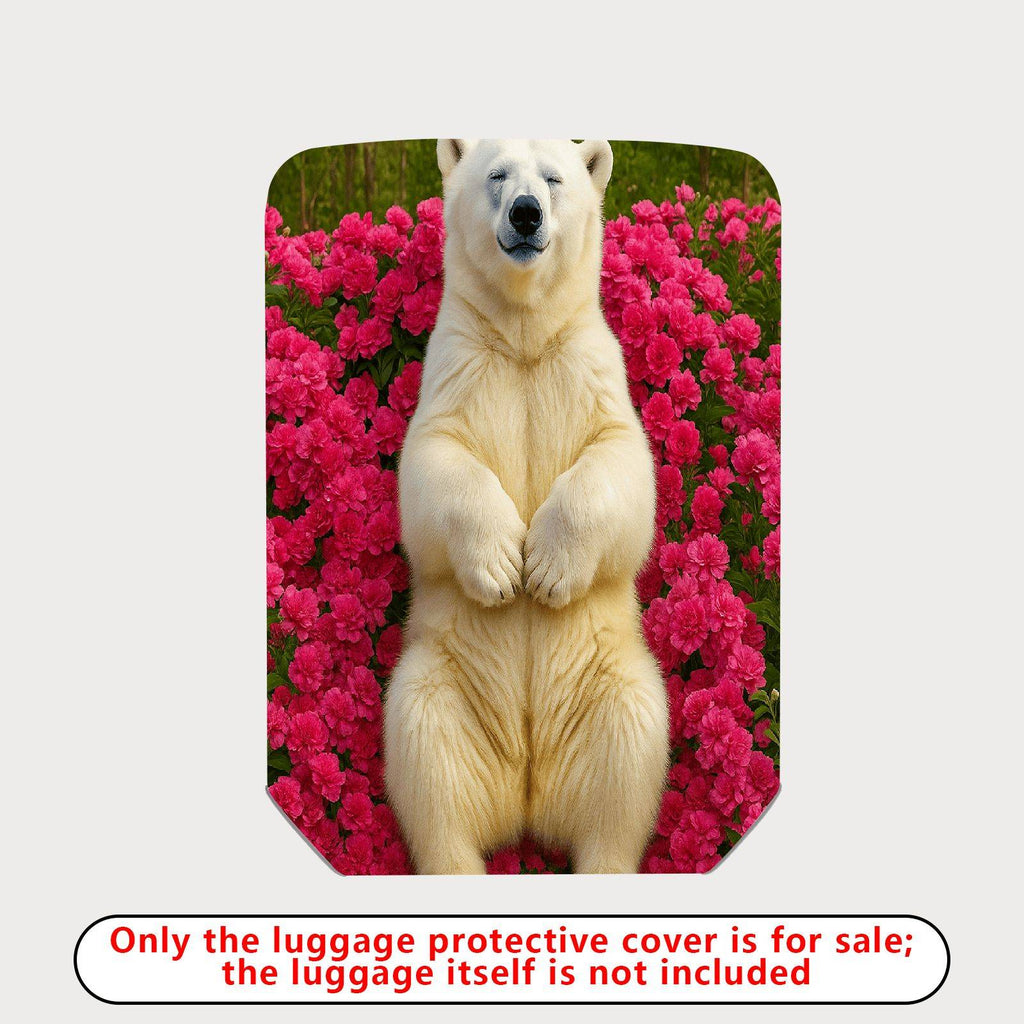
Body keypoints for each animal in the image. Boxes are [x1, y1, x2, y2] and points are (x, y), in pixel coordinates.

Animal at [383, 139, 668, 874]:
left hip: (612, 681)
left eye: (553, 178)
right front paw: (502, 566)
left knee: (629, 756)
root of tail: (528, 798)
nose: (526, 213)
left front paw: (545, 568)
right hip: (442, 682)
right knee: (427, 756)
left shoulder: (589, 367)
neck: (522, 340)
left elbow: (623, 466)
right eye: (497, 175)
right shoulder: (458, 368)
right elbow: (432, 465)